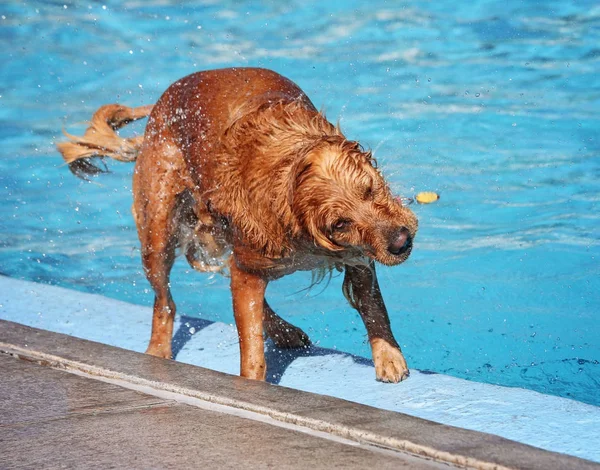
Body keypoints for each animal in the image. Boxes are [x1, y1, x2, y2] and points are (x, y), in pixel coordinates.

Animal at [58, 67, 420, 382]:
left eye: (370, 189)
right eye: (340, 222)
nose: (402, 241)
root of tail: (161, 105)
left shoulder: (358, 253)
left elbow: (374, 307)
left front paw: (388, 355)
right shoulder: (253, 264)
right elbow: (251, 342)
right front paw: (252, 383)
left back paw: (282, 330)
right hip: (158, 230)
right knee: (165, 302)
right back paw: (158, 349)